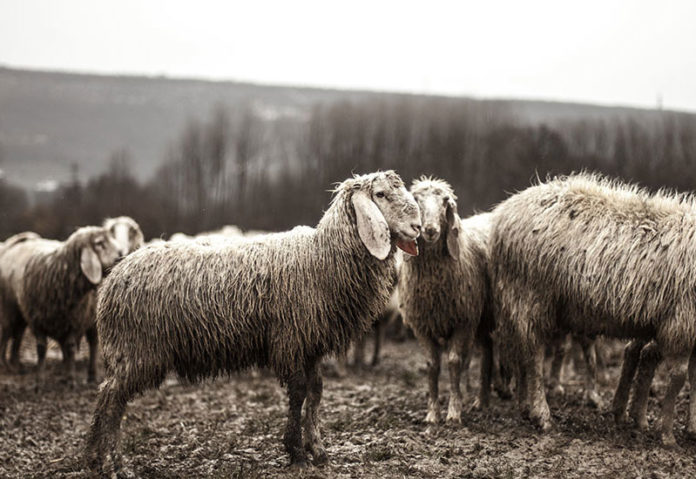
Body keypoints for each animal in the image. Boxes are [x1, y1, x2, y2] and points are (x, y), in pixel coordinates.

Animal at [0, 227, 120, 384]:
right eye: (100, 243)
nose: (120, 254)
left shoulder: (75, 321)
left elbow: (70, 347)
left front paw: (71, 379)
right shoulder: (37, 321)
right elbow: (41, 349)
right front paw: (40, 379)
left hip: (91, 318)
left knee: (93, 344)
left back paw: (90, 375)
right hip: (11, 310)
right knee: (10, 333)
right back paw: (9, 365)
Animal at [81, 170, 418, 476]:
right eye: (381, 195)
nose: (417, 227)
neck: (322, 258)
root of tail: (114, 277)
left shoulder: (310, 344)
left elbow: (316, 392)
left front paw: (318, 450)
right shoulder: (290, 339)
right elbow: (298, 392)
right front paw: (296, 453)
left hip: (130, 351)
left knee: (105, 396)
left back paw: (95, 459)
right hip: (137, 349)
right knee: (111, 402)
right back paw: (115, 465)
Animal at [396, 179, 494, 424]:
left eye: (444, 202)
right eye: (416, 200)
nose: (430, 230)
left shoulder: (462, 321)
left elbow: (454, 361)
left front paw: (454, 411)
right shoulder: (423, 326)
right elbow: (432, 365)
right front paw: (432, 413)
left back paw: (484, 399)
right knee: (488, 348)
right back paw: (482, 399)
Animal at [490, 172, 696, 446]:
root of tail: (503, 214)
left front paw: (691, 429)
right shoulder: (681, 323)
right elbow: (679, 376)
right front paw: (667, 435)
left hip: (518, 301)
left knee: (522, 352)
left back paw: (526, 407)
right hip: (530, 295)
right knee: (533, 355)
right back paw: (542, 415)